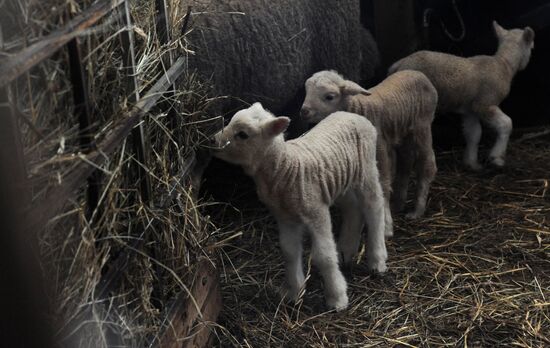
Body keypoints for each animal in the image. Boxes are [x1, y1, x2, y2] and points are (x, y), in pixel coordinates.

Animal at [211, 102, 388, 310]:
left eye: (243, 134)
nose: (212, 140)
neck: (285, 167)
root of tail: (353, 115)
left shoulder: (316, 211)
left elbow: (324, 256)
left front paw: (337, 298)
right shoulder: (285, 216)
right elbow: (289, 251)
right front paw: (294, 292)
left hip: (367, 171)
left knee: (374, 206)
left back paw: (377, 259)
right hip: (340, 182)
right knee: (352, 208)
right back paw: (346, 250)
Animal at [302, 69, 440, 220]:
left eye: (329, 97)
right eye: (307, 91)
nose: (304, 111)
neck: (359, 110)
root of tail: (418, 73)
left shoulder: (379, 146)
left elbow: (383, 181)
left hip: (422, 125)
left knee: (427, 164)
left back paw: (417, 210)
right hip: (404, 131)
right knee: (406, 161)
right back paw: (399, 204)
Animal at [390, 21, 536, 171]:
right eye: (532, 46)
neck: (504, 64)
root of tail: (399, 65)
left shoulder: (470, 109)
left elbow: (474, 134)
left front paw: (471, 163)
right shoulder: (484, 103)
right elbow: (506, 123)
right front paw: (496, 158)